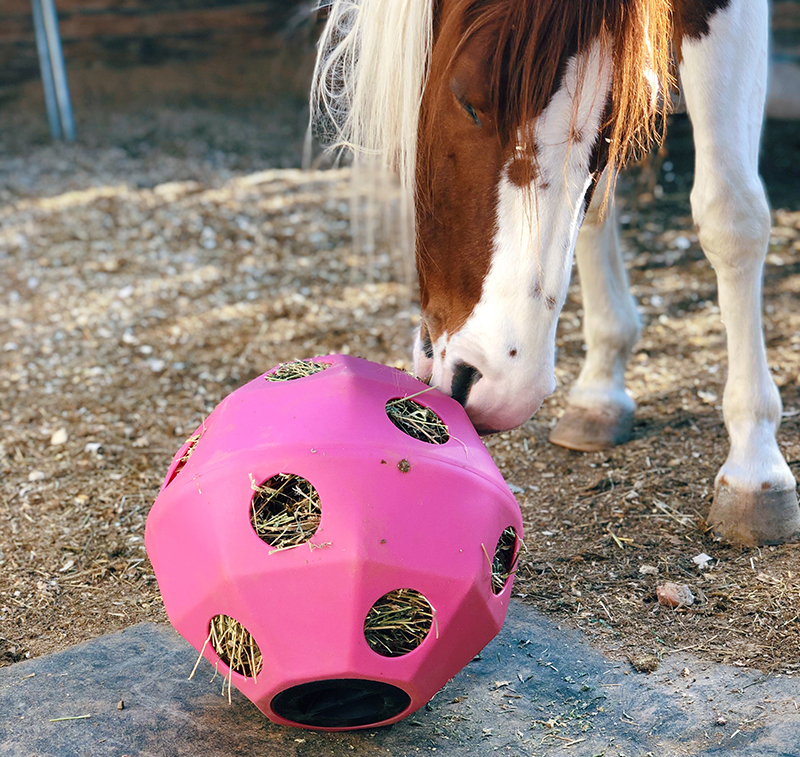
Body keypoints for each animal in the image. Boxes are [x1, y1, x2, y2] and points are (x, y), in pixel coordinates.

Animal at [310, 0, 800, 544]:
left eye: (614, 127)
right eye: (468, 101)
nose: (498, 390)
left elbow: (731, 215)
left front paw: (756, 464)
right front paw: (601, 383)